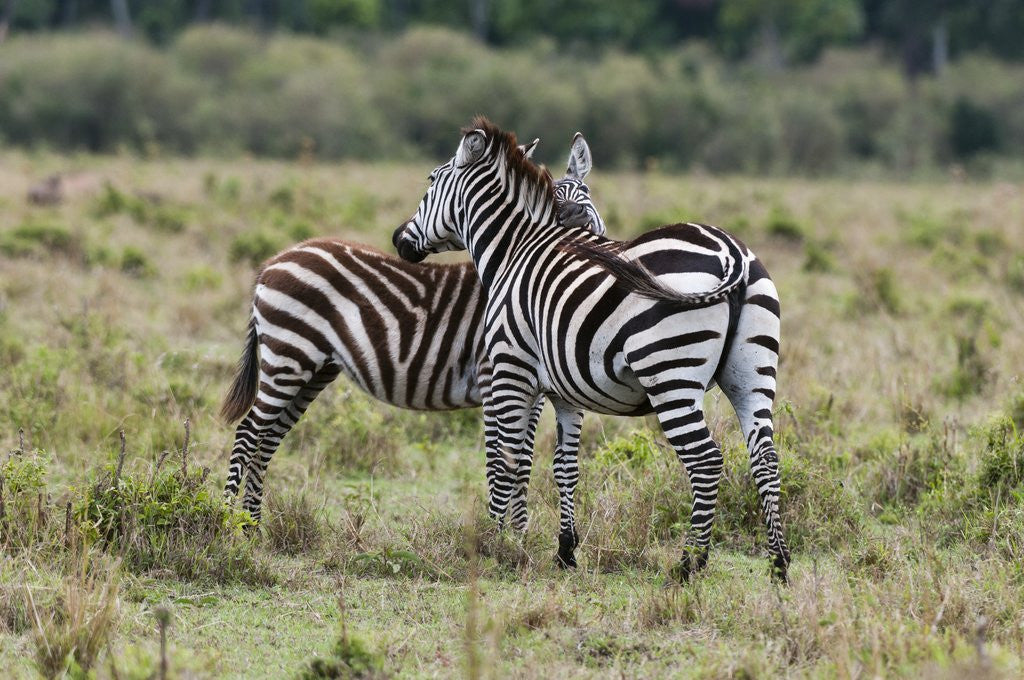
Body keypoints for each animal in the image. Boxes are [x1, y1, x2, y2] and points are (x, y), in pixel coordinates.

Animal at [220, 135, 605, 527]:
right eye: (553, 197)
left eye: (585, 192)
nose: (576, 219)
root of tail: (274, 260)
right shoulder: (494, 378)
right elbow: (502, 460)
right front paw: (498, 534)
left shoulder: (532, 390)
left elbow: (523, 461)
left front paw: (519, 532)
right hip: (288, 356)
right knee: (249, 433)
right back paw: (224, 523)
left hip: (312, 369)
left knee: (267, 440)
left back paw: (251, 527)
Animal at [393, 117, 790, 582]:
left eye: (430, 181)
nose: (399, 240)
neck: (514, 250)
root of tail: (730, 250)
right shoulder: (565, 390)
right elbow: (563, 466)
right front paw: (563, 550)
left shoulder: (509, 370)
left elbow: (504, 458)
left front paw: (495, 544)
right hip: (752, 375)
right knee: (765, 458)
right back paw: (779, 565)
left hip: (671, 376)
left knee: (706, 461)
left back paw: (690, 564)